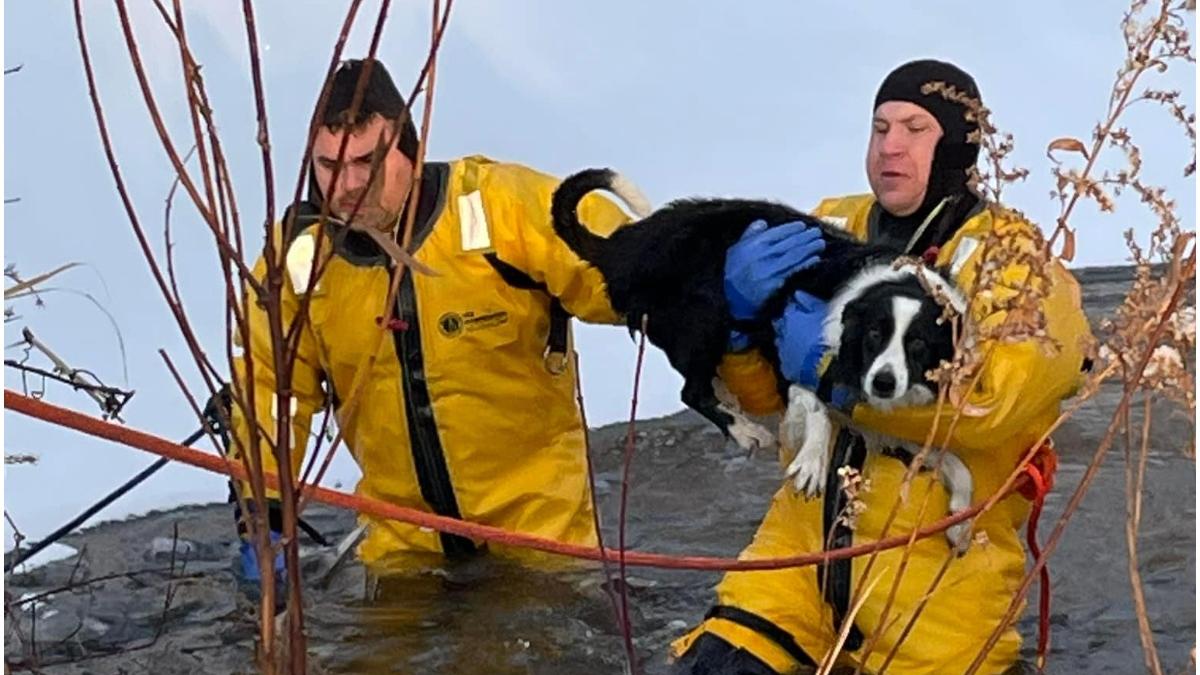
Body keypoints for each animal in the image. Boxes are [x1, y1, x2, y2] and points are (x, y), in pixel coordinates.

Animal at [551, 168, 974, 551]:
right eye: (874, 335)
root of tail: (629, 244)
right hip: (703, 316)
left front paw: (960, 520)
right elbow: (815, 404)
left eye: (918, 345)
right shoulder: (794, 352)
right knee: (692, 391)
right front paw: (812, 462)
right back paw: (743, 428)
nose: (883, 383)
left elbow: (958, 466)